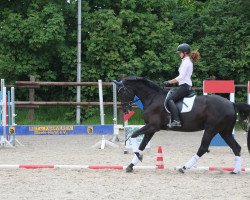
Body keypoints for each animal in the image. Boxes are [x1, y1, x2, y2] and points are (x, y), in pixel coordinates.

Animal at [113, 76, 250, 173]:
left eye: (122, 92)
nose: (125, 109)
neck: (153, 98)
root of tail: (232, 104)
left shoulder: (153, 126)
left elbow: (134, 135)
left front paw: (138, 155)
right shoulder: (151, 128)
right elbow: (142, 144)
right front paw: (131, 164)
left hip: (211, 129)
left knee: (203, 148)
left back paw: (184, 167)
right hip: (224, 131)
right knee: (236, 148)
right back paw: (236, 170)